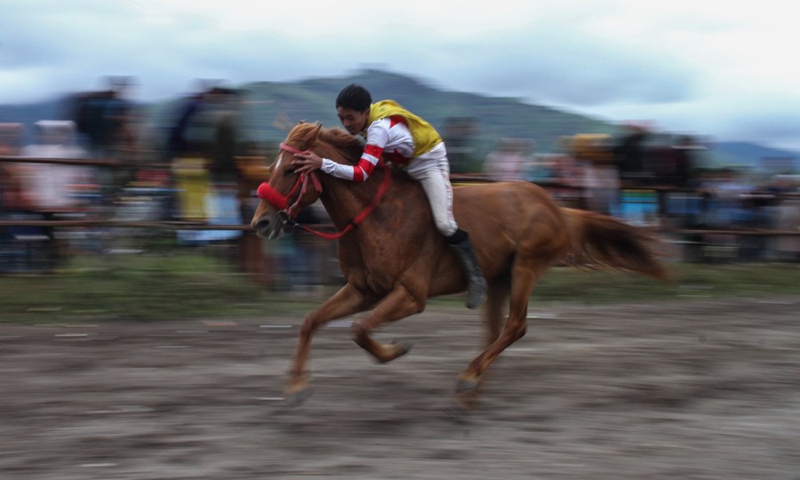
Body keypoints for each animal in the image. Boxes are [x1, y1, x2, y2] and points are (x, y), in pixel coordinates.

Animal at [251, 122, 670, 405]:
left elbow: (360, 328)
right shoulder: (363, 289)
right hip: (499, 277)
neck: (374, 215)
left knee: (515, 327)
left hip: (526, 266)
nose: (260, 223)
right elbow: (312, 320)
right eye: (271, 166)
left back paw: (469, 377)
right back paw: (475, 384)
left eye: (290, 169)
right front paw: (295, 387)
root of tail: (558, 207)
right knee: (494, 330)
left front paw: (395, 350)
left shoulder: (410, 294)